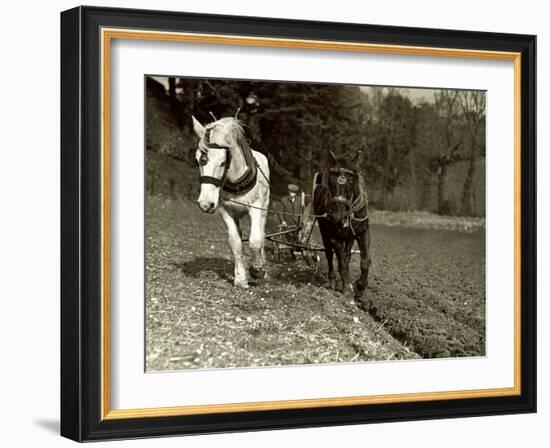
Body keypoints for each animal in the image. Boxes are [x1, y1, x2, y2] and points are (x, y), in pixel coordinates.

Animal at [194, 115, 272, 288]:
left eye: (222, 161)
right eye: (198, 160)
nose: (205, 203)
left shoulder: (255, 207)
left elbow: (255, 240)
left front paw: (257, 269)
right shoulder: (225, 210)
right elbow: (235, 242)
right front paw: (240, 278)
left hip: (264, 209)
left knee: (261, 233)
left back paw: (263, 268)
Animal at [312, 150, 374, 298]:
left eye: (351, 181)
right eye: (330, 180)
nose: (337, 217)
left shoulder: (363, 232)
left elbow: (365, 261)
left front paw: (360, 286)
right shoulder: (333, 236)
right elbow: (341, 262)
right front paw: (347, 287)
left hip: (349, 237)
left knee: (347, 254)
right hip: (324, 233)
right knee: (330, 255)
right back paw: (332, 279)